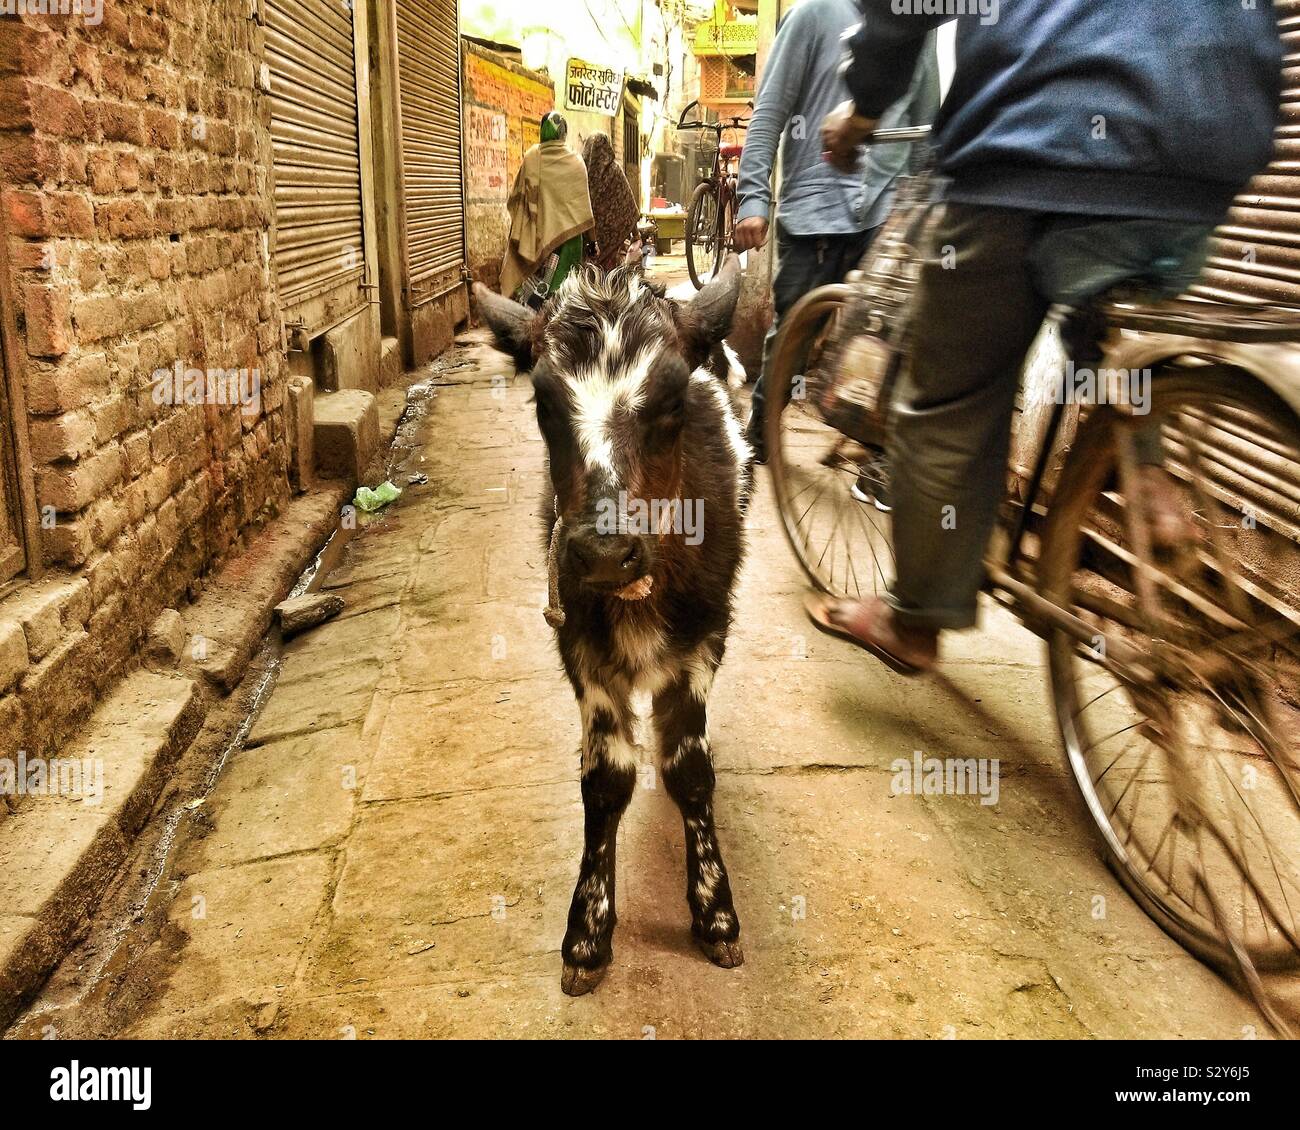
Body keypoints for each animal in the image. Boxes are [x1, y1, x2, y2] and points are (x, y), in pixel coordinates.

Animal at [475, 260, 754, 993]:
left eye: (674, 400)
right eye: (543, 403)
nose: (604, 552)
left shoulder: (705, 638)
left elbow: (690, 770)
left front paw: (716, 915)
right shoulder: (580, 647)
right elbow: (604, 780)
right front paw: (587, 935)